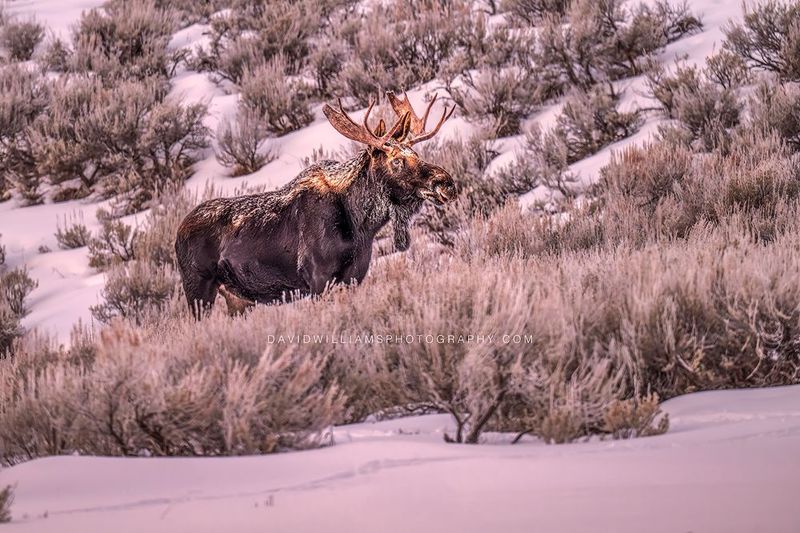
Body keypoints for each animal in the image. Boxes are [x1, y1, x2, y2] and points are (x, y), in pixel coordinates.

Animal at [175, 92, 456, 318]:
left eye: (417, 154)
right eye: (396, 160)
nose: (446, 182)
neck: (361, 226)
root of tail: (177, 233)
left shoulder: (353, 278)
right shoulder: (318, 279)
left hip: (237, 299)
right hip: (198, 288)